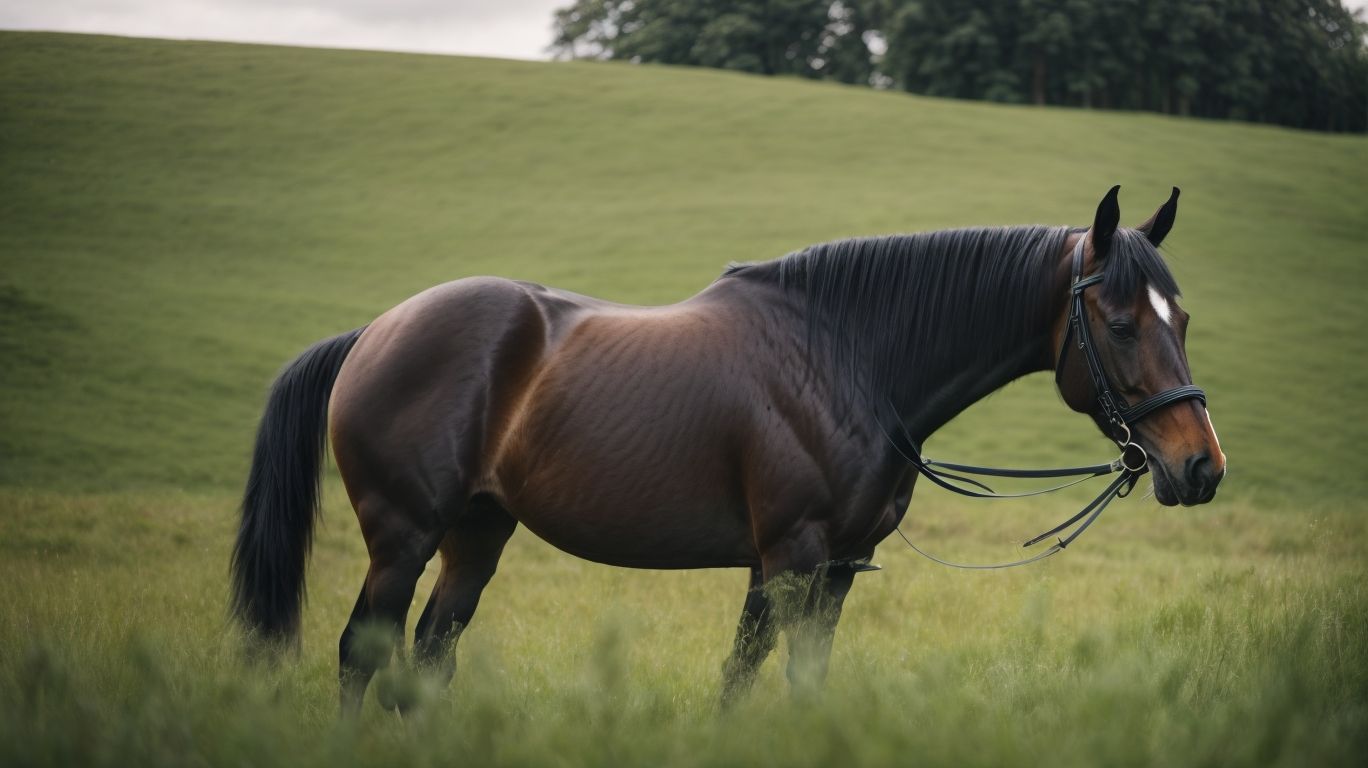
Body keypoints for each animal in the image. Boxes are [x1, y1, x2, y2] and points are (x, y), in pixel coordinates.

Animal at [230, 186, 1225, 715]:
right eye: (1123, 322)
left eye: (1183, 317)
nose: (1201, 465)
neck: (845, 354)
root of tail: (376, 333)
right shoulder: (785, 558)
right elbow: (744, 676)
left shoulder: (838, 570)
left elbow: (799, 681)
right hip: (403, 536)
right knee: (364, 656)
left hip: (478, 533)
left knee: (430, 656)